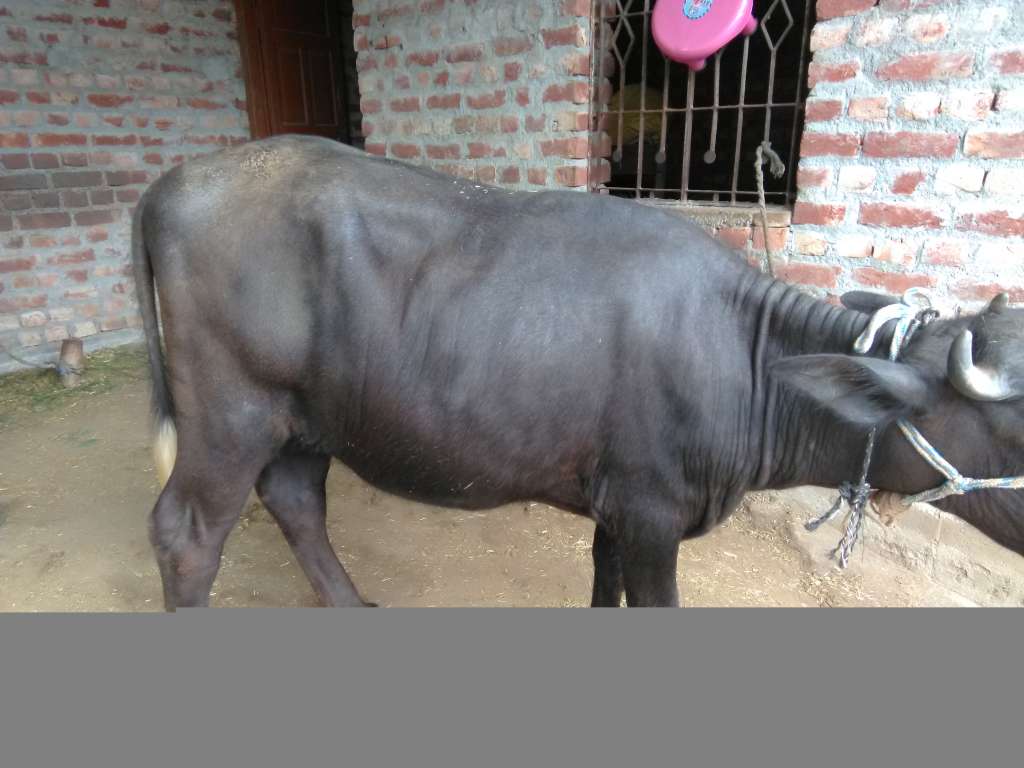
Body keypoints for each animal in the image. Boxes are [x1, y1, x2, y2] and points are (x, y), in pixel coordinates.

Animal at [132, 134, 1024, 608]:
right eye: (1013, 428)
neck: (739, 357)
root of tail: (178, 180)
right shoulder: (655, 510)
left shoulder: (618, 502)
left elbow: (606, 581)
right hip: (230, 414)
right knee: (186, 534)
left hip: (304, 417)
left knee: (294, 501)